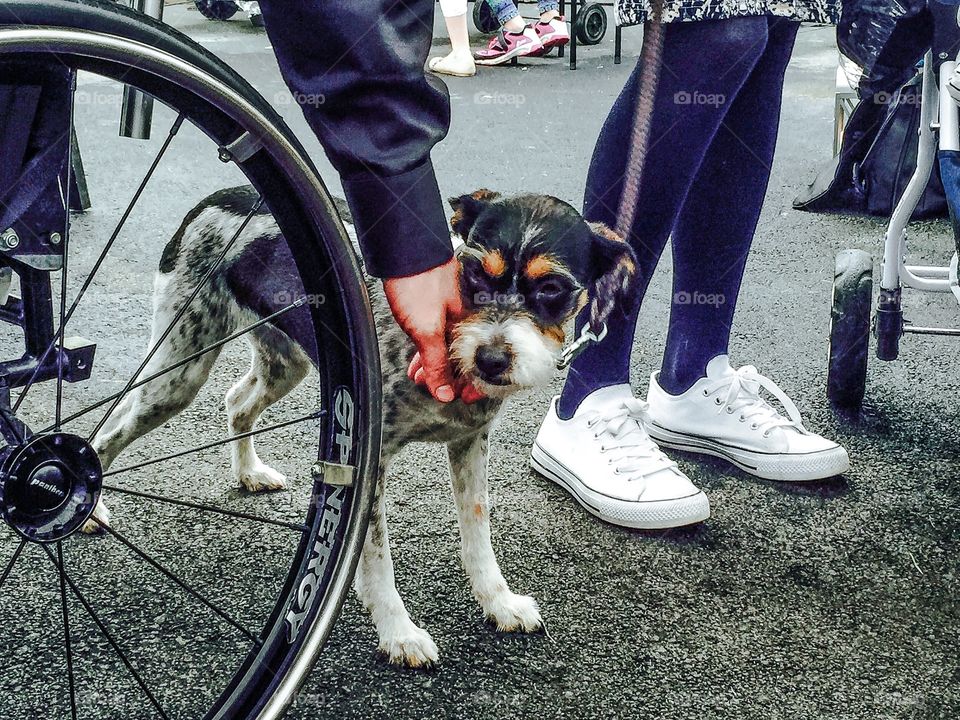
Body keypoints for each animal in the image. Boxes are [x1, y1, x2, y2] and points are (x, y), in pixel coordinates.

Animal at [86, 187, 632, 668]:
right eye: (473, 273)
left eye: (552, 289)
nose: (492, 359)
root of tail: (217, 197)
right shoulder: (371, 459)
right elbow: (377, 560)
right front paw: (398, 632)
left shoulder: (471, 441)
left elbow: (478, 531)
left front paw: (498, 601)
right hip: (176, 372)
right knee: (111, 428)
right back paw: (89, 505)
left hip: (284, 363)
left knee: (238, 402)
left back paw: (249, 472)